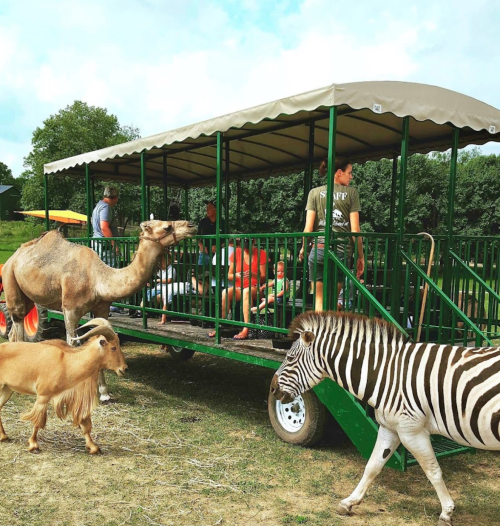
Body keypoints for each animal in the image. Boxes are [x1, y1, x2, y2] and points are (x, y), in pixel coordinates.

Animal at [0, 320, 127, 456]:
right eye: (113, 347)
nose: (124, 369)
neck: (67, 363)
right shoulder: (43, 396)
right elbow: (37, 421)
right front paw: (33, 445)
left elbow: (85, 423)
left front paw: (93, 447)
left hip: (7, 389)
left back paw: (4, 436)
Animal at [1, 221, 197, 402]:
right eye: (167, 227)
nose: (192, 225)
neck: (97, 279)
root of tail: (13, 256)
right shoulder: (70, 310)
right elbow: (71, 345)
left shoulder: (102, 308)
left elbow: (100, 340)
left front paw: (104, 394)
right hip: (10, 279)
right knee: (18, 322)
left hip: (28, 295)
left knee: (14, 332)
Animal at [272, 312, 500, 526]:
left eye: (289, 359)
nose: (273, 390)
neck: (386, 374)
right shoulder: (390, 428)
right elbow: (372, 466)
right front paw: (349, 502)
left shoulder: (412, 431)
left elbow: (433, 471)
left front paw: (446, 512)